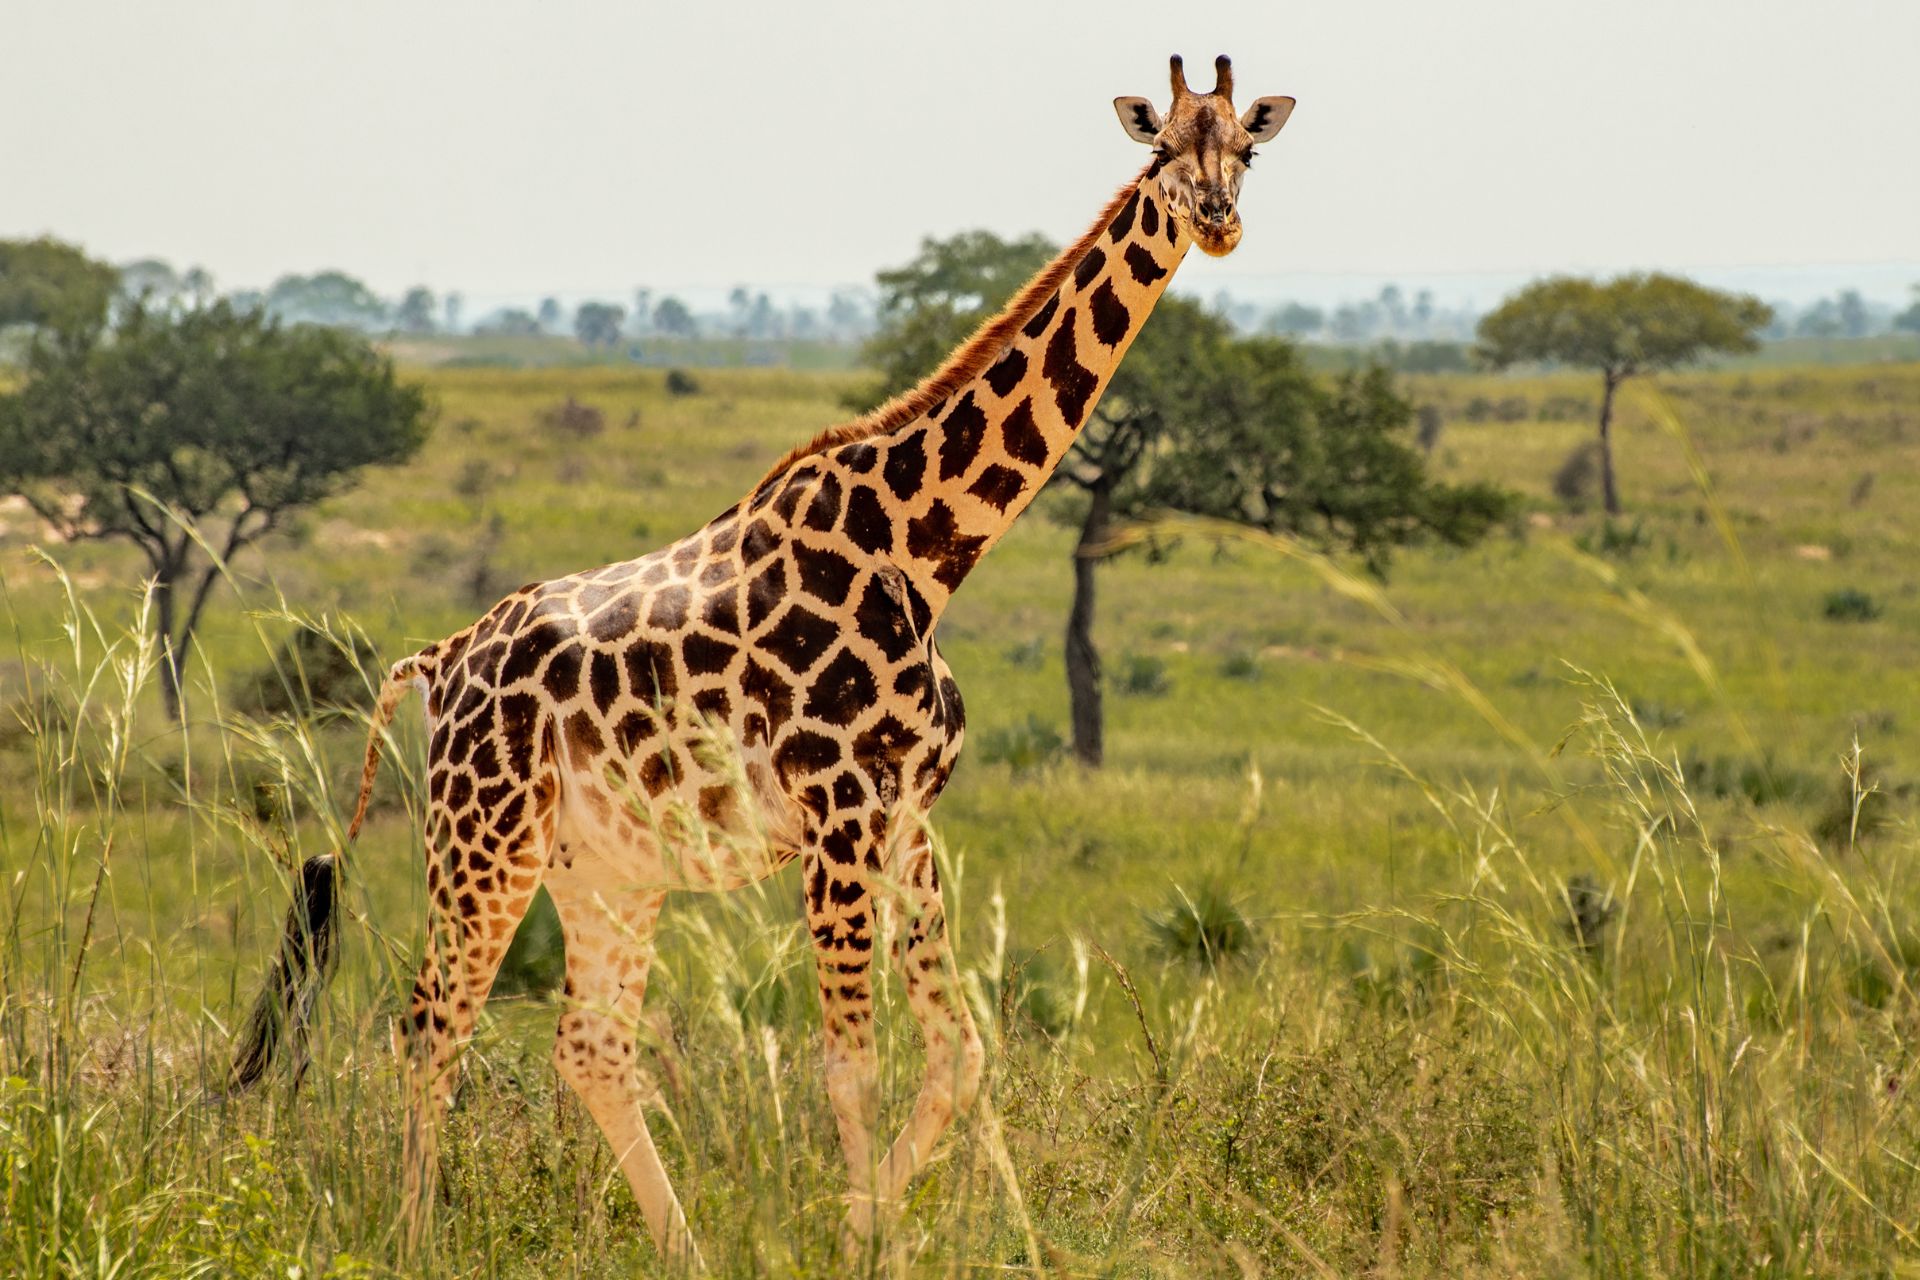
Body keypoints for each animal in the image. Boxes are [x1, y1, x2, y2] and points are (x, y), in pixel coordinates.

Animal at [229, 53, 1294, 1268]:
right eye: (1160, 151)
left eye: (1246, 151)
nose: (1217, 221)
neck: (927, 549)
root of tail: (438, 659)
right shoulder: (839, 812)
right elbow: (854, 1066)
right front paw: (866, 1243)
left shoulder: (905, 816)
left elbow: (963, 1054)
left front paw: (944, 1234)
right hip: (482, 840)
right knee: (428, 1027)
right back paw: (416, 1242)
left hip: (604, 870)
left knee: (589, 1046)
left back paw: (684, 1250)